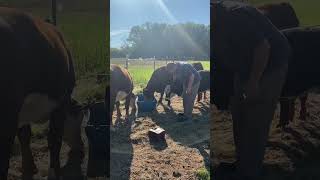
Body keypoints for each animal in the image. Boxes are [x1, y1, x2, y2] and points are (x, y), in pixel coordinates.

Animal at [0, 7, 85, 180]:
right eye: (79, 119)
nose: (81, 148)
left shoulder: (22, 109)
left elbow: (25, 135)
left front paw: (29, 167)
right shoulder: (61, 100)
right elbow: (54, 138)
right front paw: (54, 173)